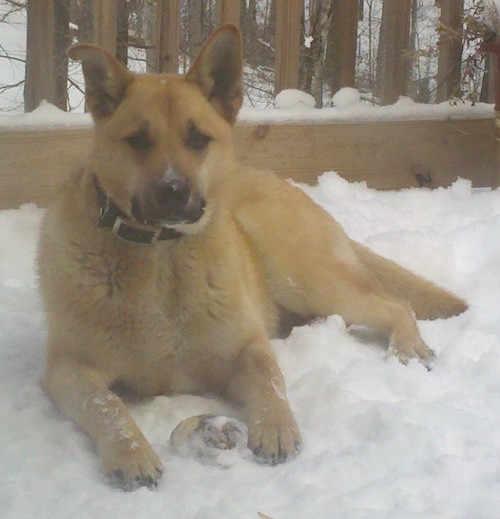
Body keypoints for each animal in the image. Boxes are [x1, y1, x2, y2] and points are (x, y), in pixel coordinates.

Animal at [37, 25, 466, 492]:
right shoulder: (69, 368)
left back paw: (409, 347)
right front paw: (131, 452)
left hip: (305, 278)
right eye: (138, 140)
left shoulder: (247, 346)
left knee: (396, 305)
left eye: (197, 138)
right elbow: (106, 404)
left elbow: (268, 378)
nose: (172, 191)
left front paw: (276, 427)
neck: (163, 259)